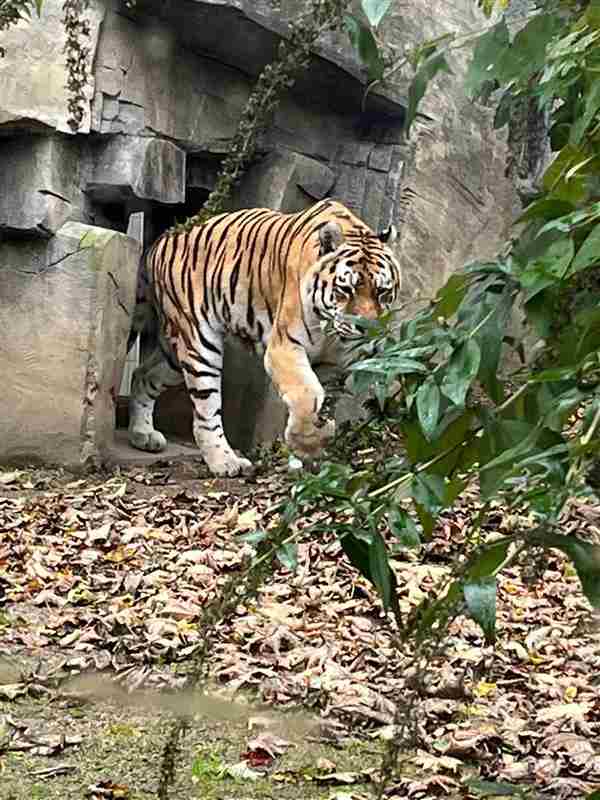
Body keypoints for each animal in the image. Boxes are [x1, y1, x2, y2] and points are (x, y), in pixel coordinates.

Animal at [127, 198, 402, 476]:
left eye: (382, 292)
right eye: (346, 290)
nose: (368, 329)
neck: (331, 330)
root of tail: (163, 238)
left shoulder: (335, 364)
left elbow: (323, 402)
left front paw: (318, 443)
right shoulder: (285, 346)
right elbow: (307, 395)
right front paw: (304, 442)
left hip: (172, 355)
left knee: (143, 375)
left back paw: (143, 434)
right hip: (199, 343)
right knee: (206, 411)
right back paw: (224, 461)